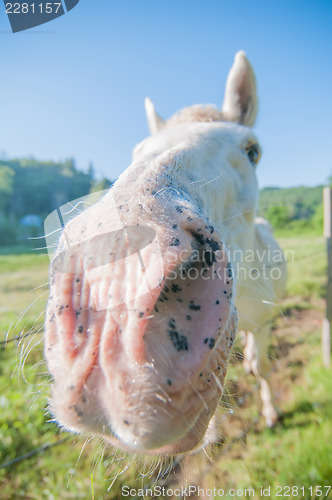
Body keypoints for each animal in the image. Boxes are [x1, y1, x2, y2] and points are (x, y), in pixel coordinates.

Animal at [44, 51, 286, 458]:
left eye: (252, 151)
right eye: (137, 151)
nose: (117, 280)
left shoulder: (265, 325)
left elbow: (262, 369)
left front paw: (270, 413)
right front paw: (215, 434)